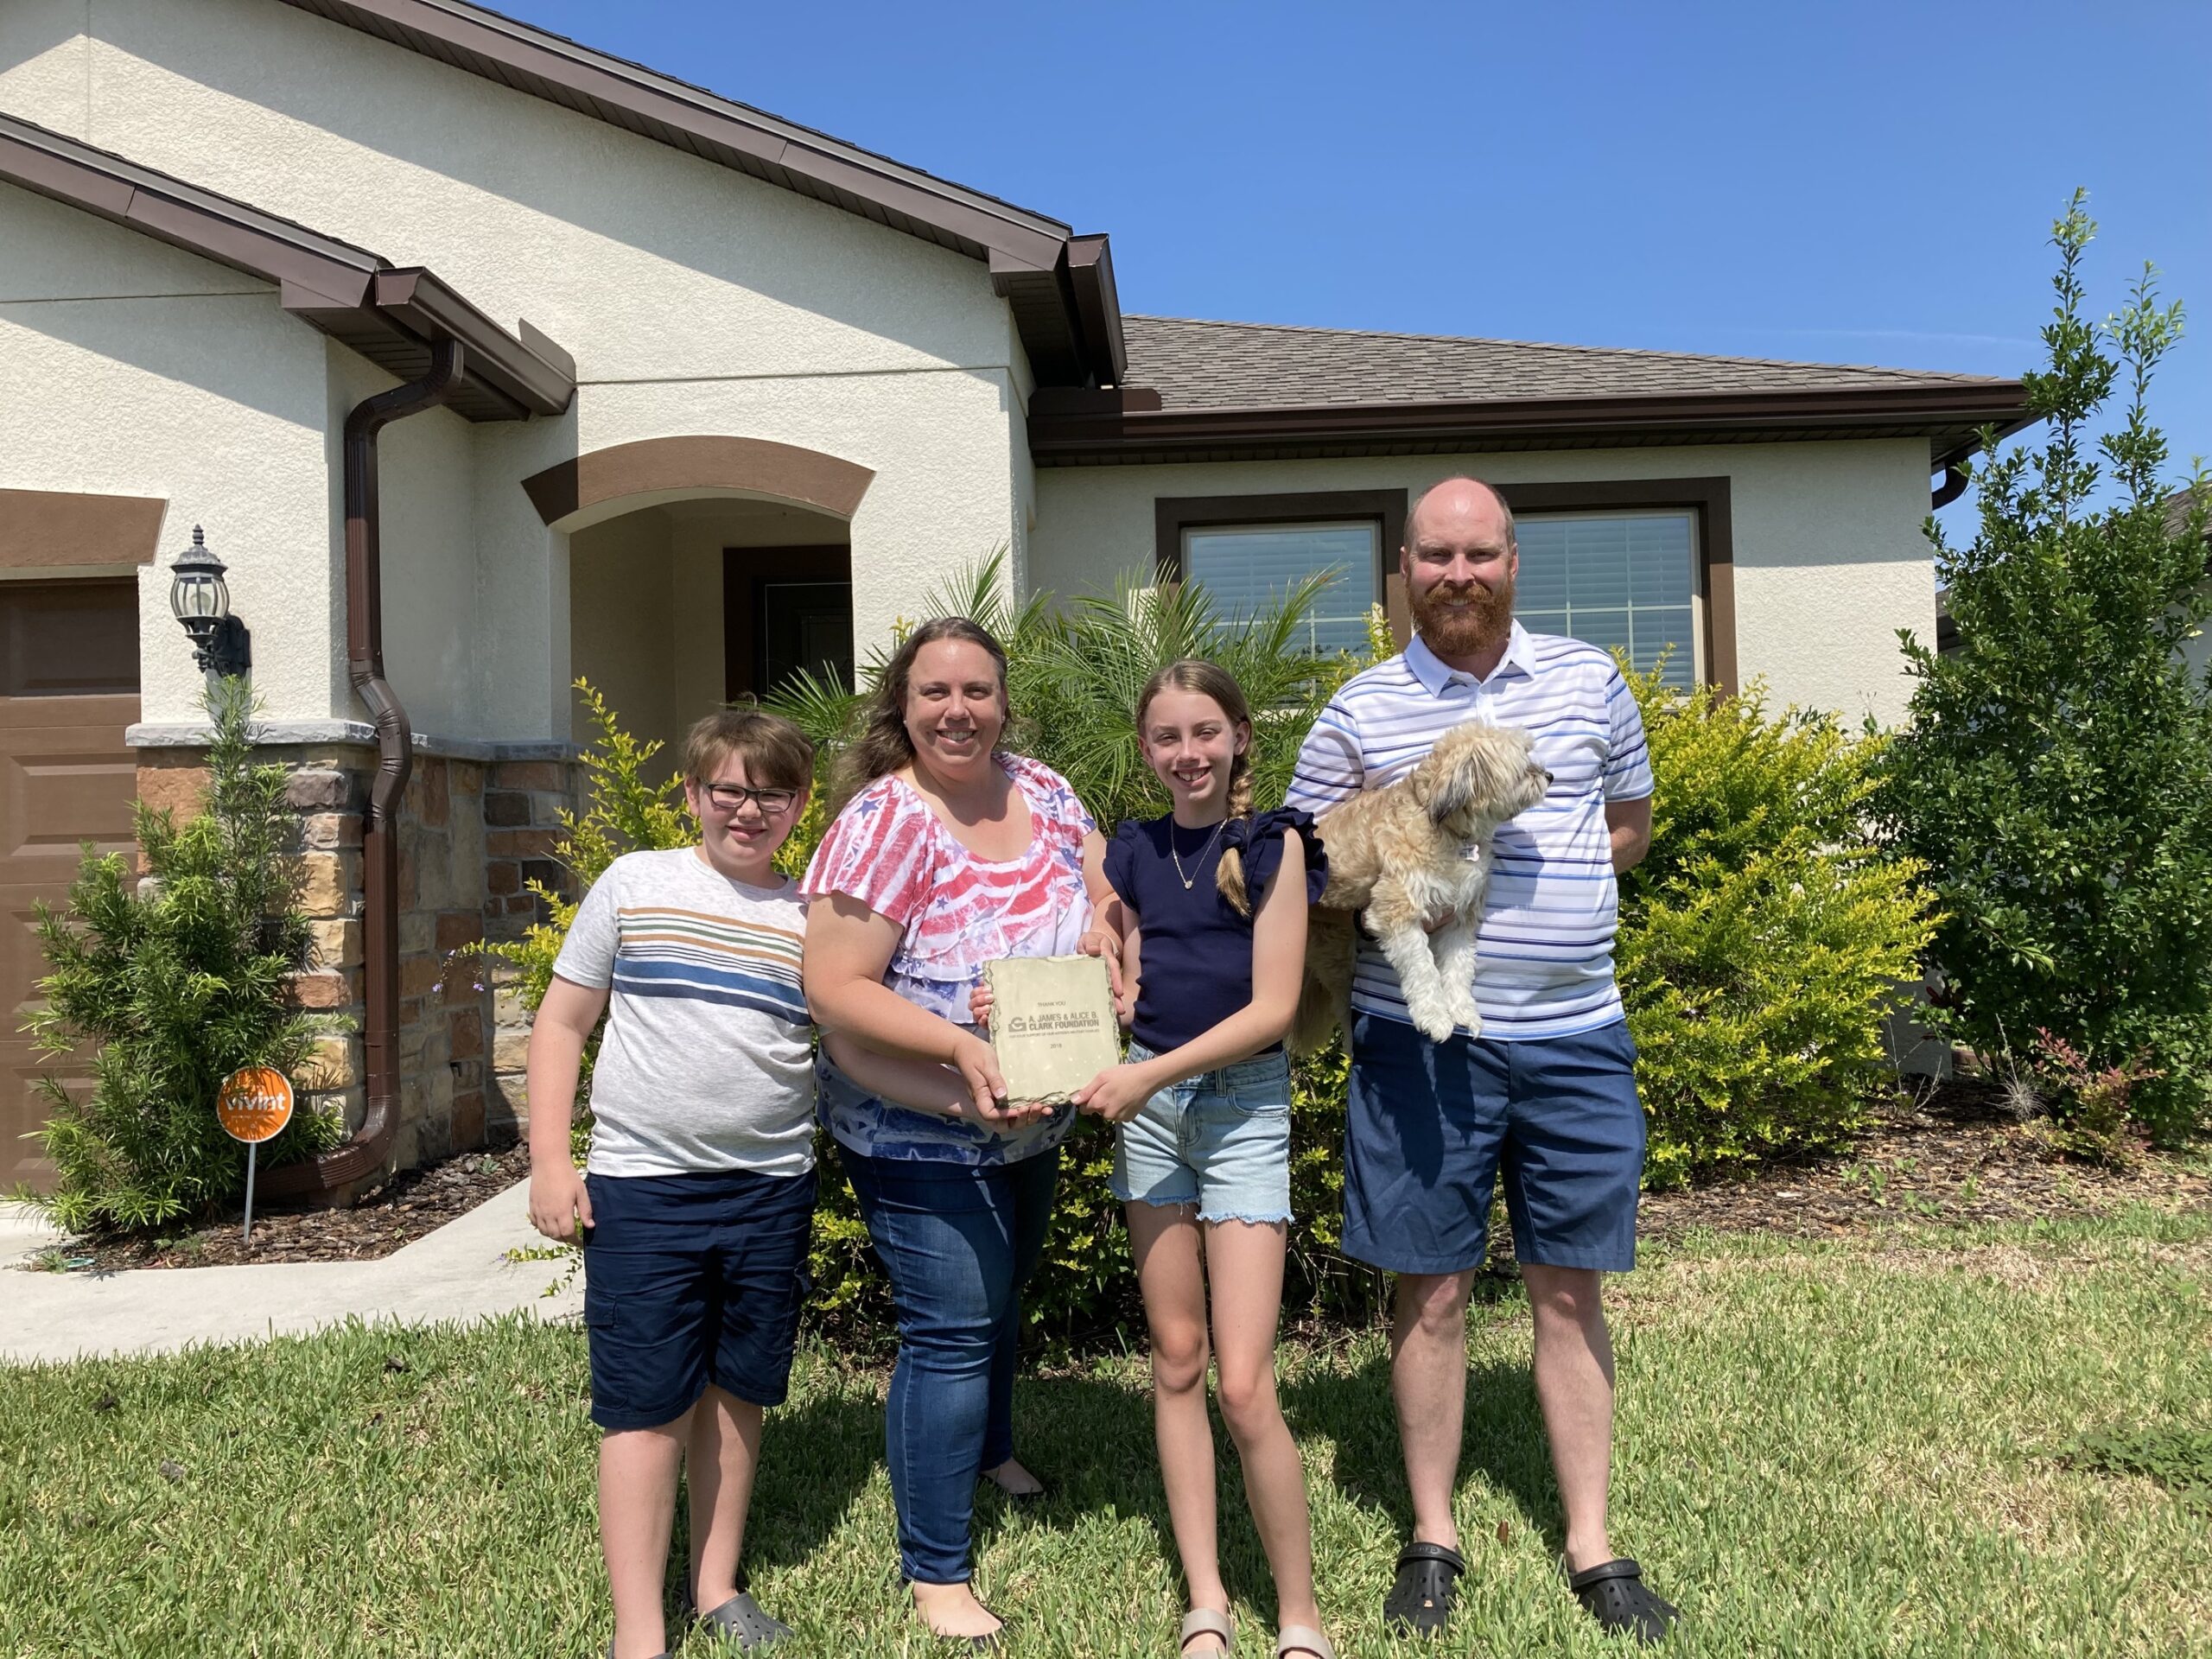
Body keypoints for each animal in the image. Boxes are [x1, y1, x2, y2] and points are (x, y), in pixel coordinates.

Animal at [1292, 725, 1548, 1052]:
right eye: (1523, 766)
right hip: (1335, 958)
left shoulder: (1459, 918)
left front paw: (1464, 1011)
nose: (1549, 775)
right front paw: (1435, 1017)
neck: (1448, 831)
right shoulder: (1396, 913)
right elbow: (1423, 969)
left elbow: (1459, 969)